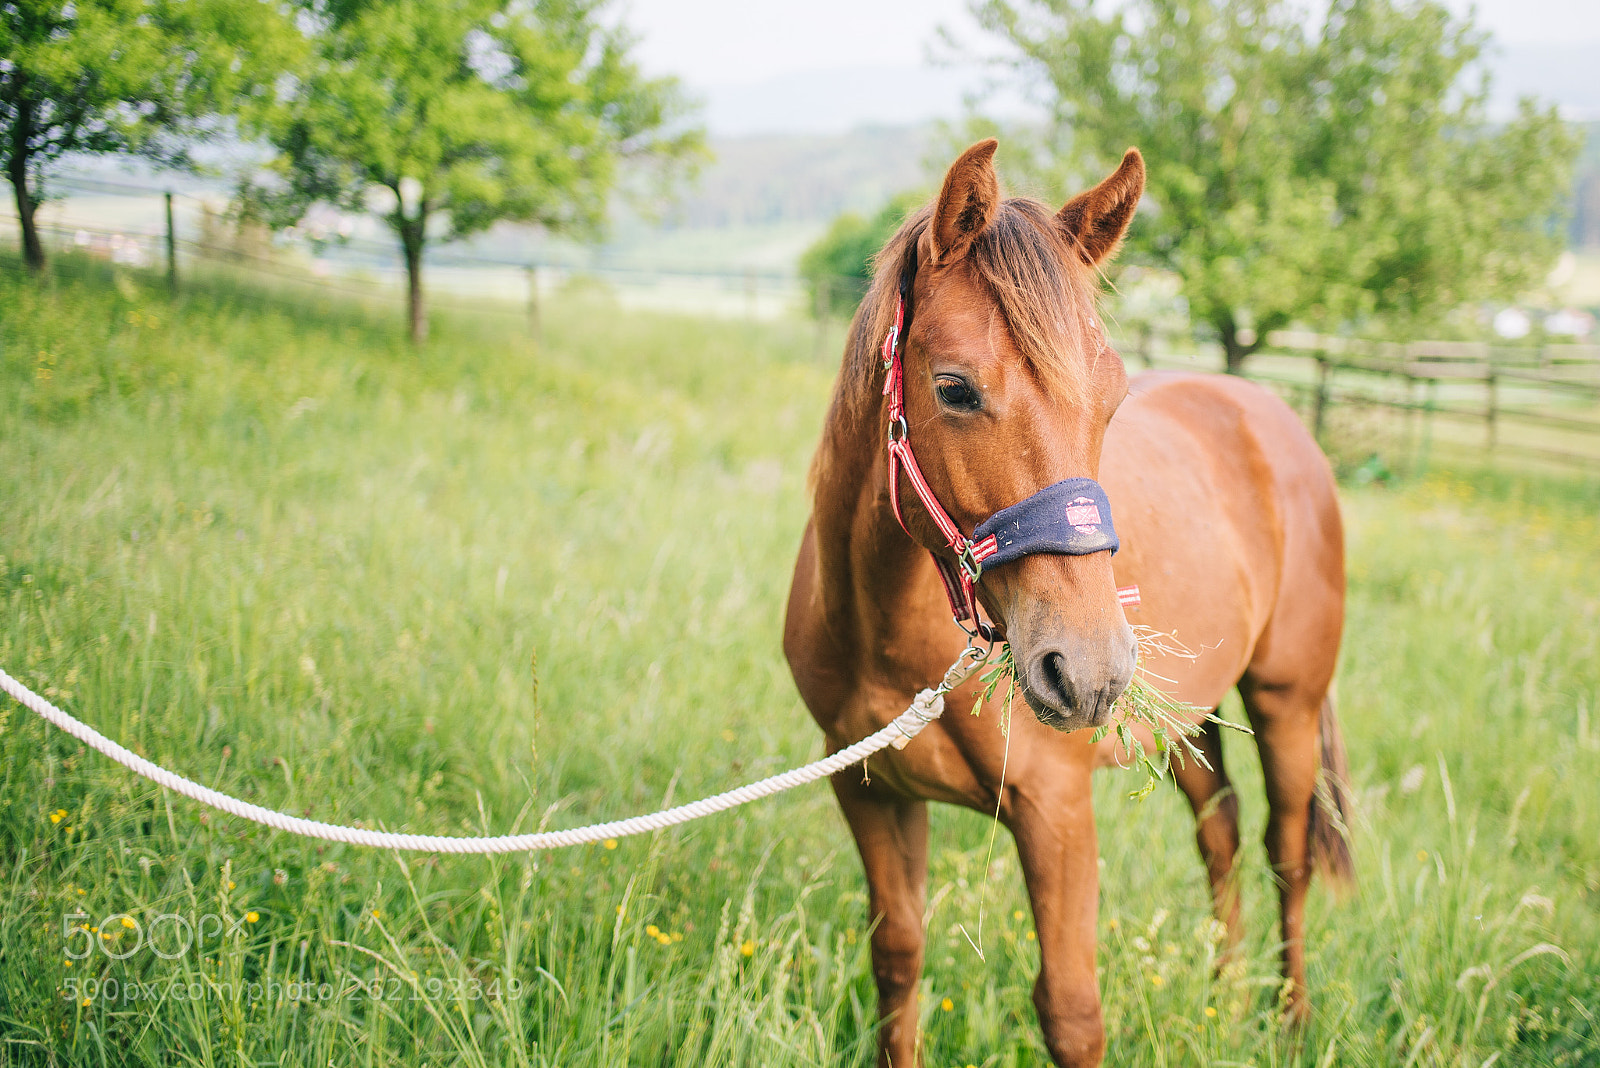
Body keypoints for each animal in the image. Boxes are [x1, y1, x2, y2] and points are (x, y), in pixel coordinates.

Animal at [783, 139, 1353, 1067]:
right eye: (954, 388)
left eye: (1112, 397)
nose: (1087, 671)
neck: (887, 634)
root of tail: (1270, 415)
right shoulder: (871, 790)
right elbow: (898, 960)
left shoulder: (1055, 814)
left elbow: (1073, 1013)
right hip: (1186, 720)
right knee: (1222, 833)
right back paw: (1225, 997)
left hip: (1286, 703)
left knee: (1287, 851)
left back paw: (1292, 1017)